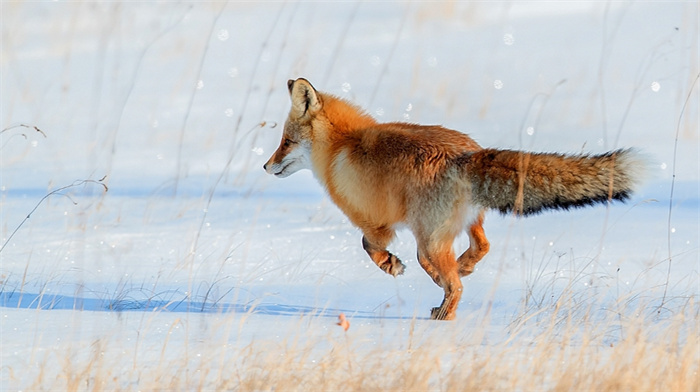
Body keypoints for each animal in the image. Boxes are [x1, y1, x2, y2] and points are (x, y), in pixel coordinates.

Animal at [264, 78, 644, 320]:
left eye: (286, 142)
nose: (266, 166)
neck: (340, 147)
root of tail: (464, 154)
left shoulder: (374, 222)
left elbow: (369, 247)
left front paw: (391, 265)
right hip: (458, 226)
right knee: (479, 249)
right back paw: (458, 272)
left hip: (429, 237)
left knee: (454, 283)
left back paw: (443, 315)